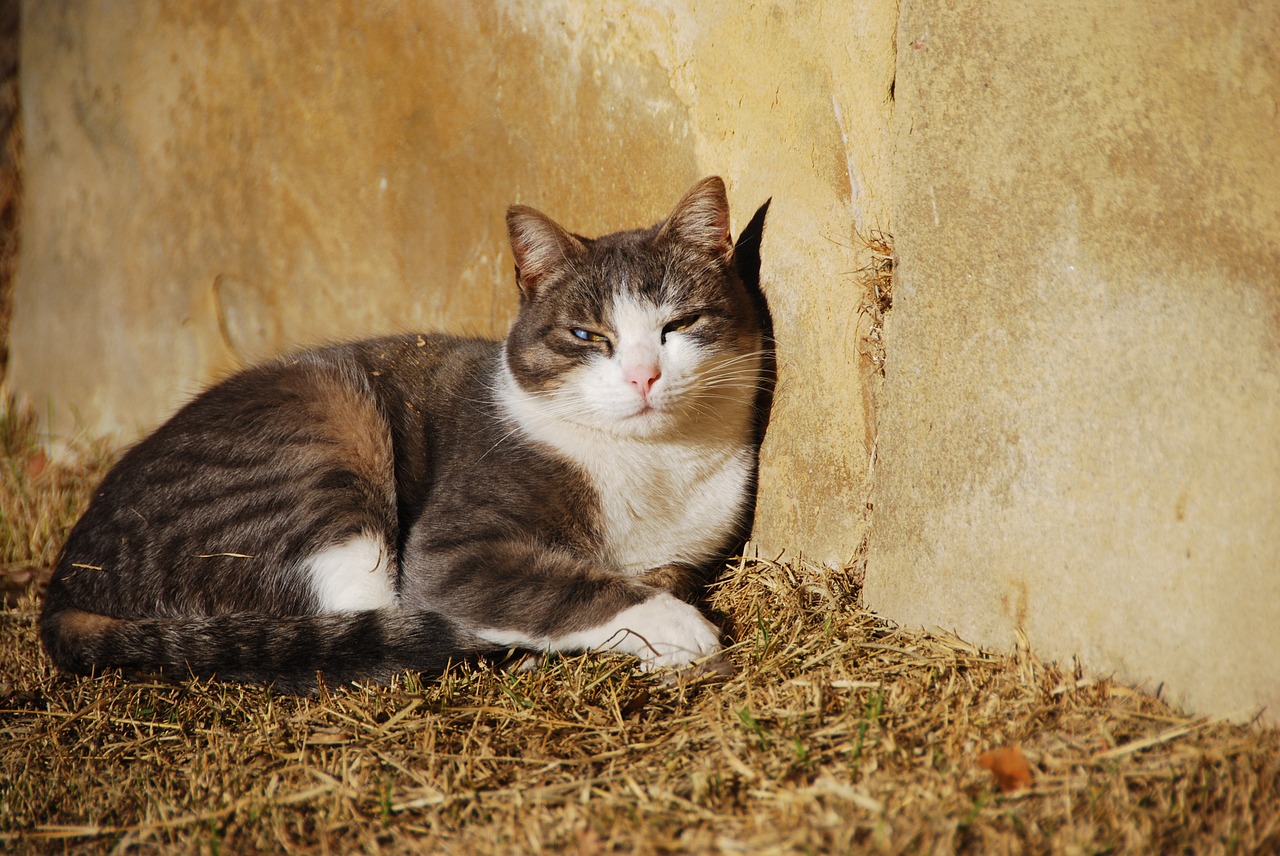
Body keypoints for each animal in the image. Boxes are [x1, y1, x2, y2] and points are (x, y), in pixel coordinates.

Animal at [40, 176, 773, 690]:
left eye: (679, 324)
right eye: (588, 336)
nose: (644, 376)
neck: (654, 463)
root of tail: (63, 585)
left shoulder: (691, 541)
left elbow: (663, 570)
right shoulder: (454, 547)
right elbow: (564, 586)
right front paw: (677, 629)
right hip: (326, 445)